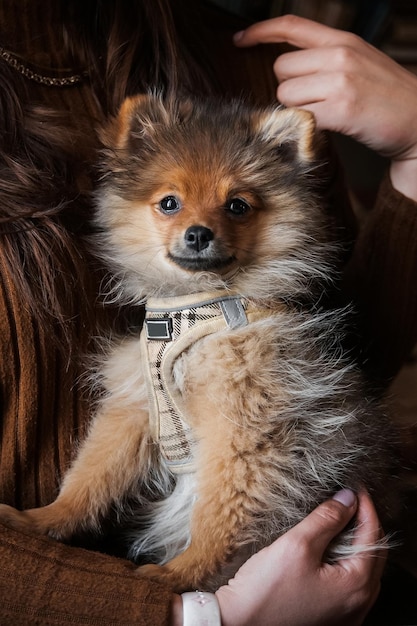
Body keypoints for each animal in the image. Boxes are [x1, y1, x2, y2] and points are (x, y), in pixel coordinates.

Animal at [0, 92, 396, 588]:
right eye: (170, 203)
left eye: (237, 206)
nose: (198, 233)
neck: (195, 306)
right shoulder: (134, 410)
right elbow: (90, 477)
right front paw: (42, 519)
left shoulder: (245, 423)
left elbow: (220, 512)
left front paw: (179, 574)